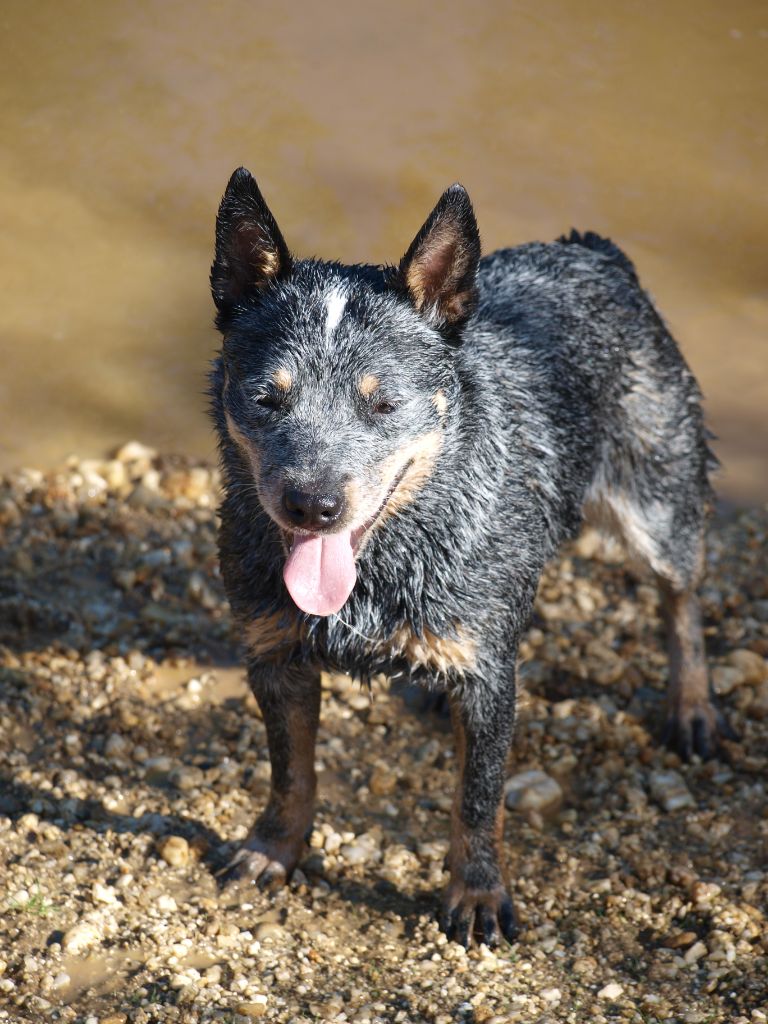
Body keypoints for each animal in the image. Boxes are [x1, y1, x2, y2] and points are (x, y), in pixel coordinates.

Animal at [205, 165, 729, 942]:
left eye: (383, 404)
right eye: (267, 397)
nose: (312, 504)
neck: (386, 565)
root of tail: (591, 249)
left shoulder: (489, 681)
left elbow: (478, 798)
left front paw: (477, 893)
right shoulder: (275, 656)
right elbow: (290, 772)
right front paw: (273, 849)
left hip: (657, 499)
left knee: (681, 593)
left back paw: (692, 707)